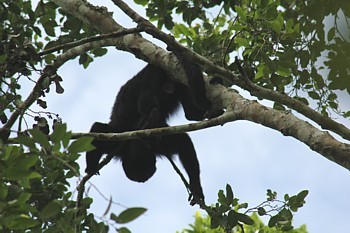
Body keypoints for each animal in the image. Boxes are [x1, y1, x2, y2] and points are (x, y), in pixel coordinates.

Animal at [85, 53, 211, 206]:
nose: (145, 178)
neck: (136, 143)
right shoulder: (149, 145)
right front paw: (91, 166)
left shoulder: (122, 143)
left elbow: (183, 142)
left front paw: (196, 187)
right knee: (186, 105)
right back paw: (194, 113)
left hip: (154, 70)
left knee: (146, 96)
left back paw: (151, 117)